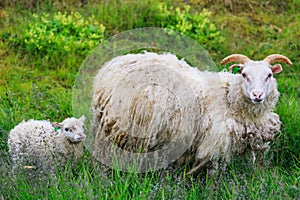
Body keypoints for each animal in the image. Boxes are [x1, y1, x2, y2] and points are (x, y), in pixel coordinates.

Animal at [92, 52, 292, 176]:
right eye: (244, 74)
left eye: (269, 75)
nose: (257, 95)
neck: (229, 97)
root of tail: (111, 66)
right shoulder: (214, 140)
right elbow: (213, 170)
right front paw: (211, 190)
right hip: (118, 129)